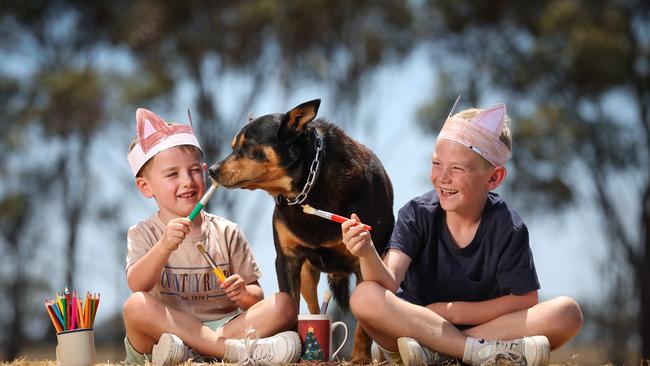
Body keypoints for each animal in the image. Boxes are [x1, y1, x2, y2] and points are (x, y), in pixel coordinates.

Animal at [208, 98, 392, 362]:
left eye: (247, 145)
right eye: (233, 146)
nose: (211, 170)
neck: (307, 188)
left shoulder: (365, 260)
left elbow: (363, 325)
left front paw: (360, 359)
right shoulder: (287, 260)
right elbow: (290, 309)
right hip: (307, 275)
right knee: (314, 309)